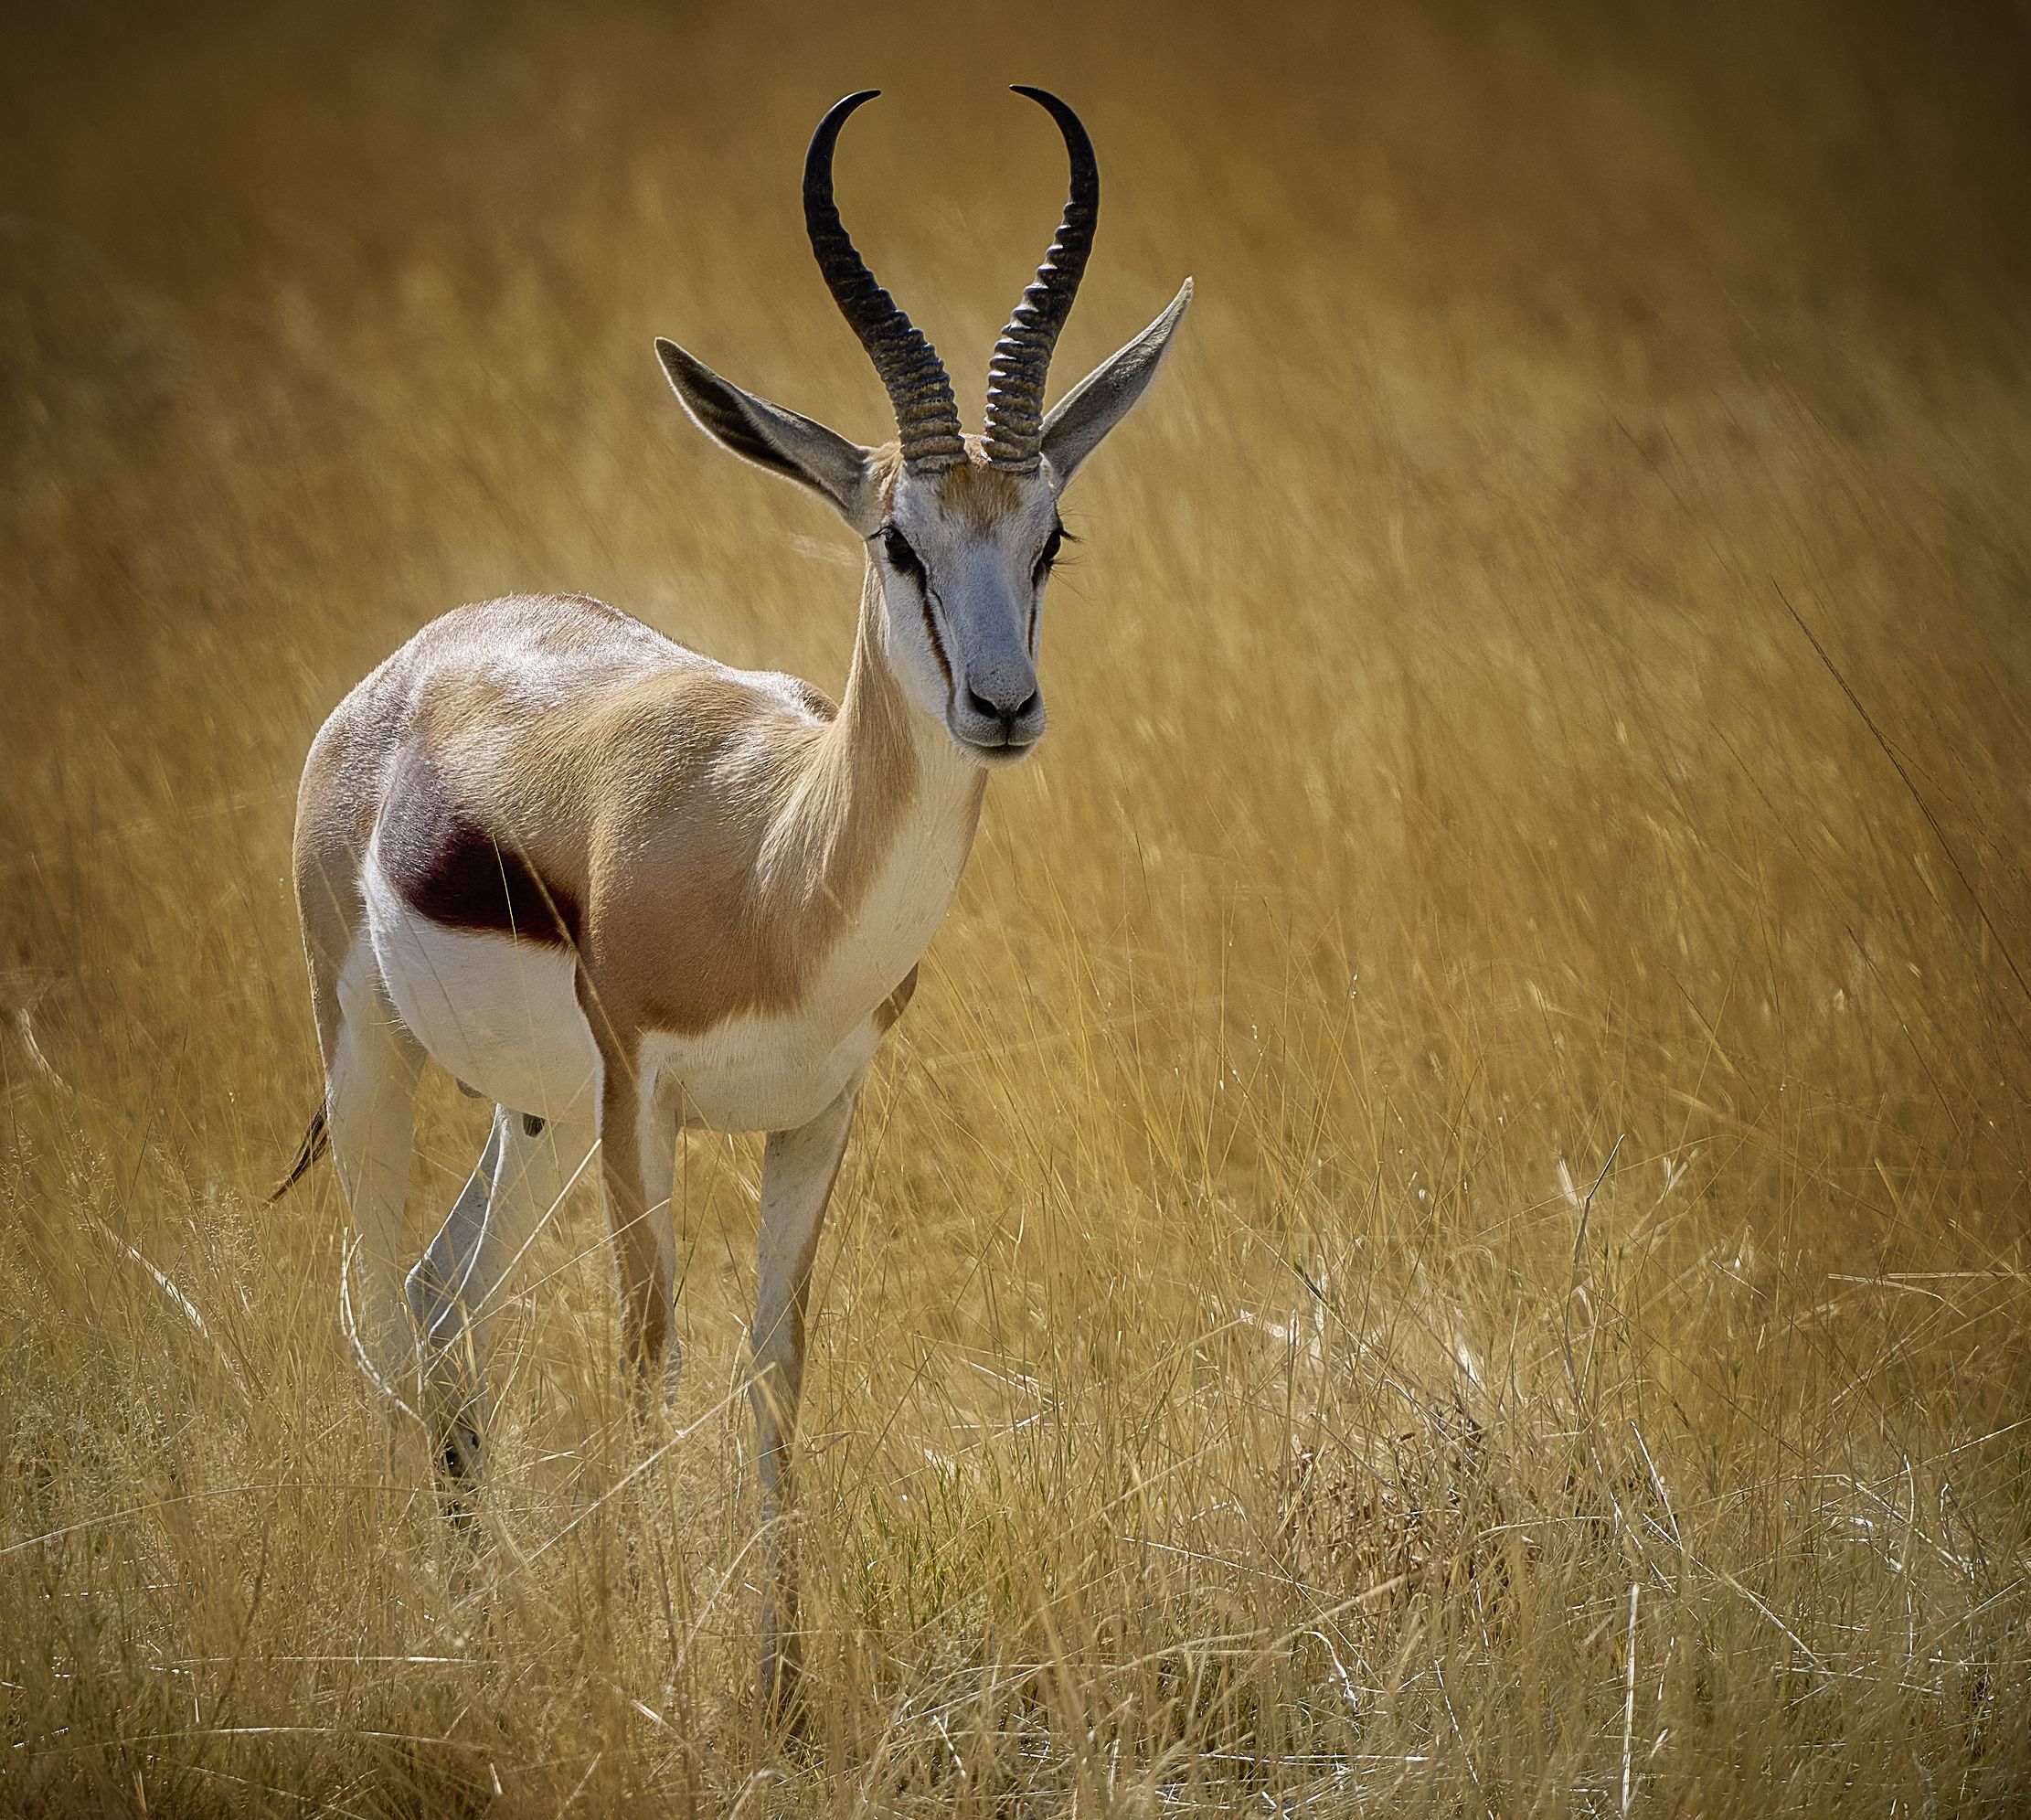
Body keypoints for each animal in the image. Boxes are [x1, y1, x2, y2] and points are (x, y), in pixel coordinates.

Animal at [275, 85, 1190, 1702]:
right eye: (897, 540)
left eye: (1049, 537)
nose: (1003, 706)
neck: (775, 867)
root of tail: (416, 659)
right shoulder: (644, 1101)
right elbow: (654, 1358)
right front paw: (654, 1654)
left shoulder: (816, 1113)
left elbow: (775, 1368)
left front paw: (779, 1684)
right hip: (379, 1059)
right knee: (376, 1310)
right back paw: (433, 1633)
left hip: (538, 1118)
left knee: (449, 1303)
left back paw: (478, 1611)